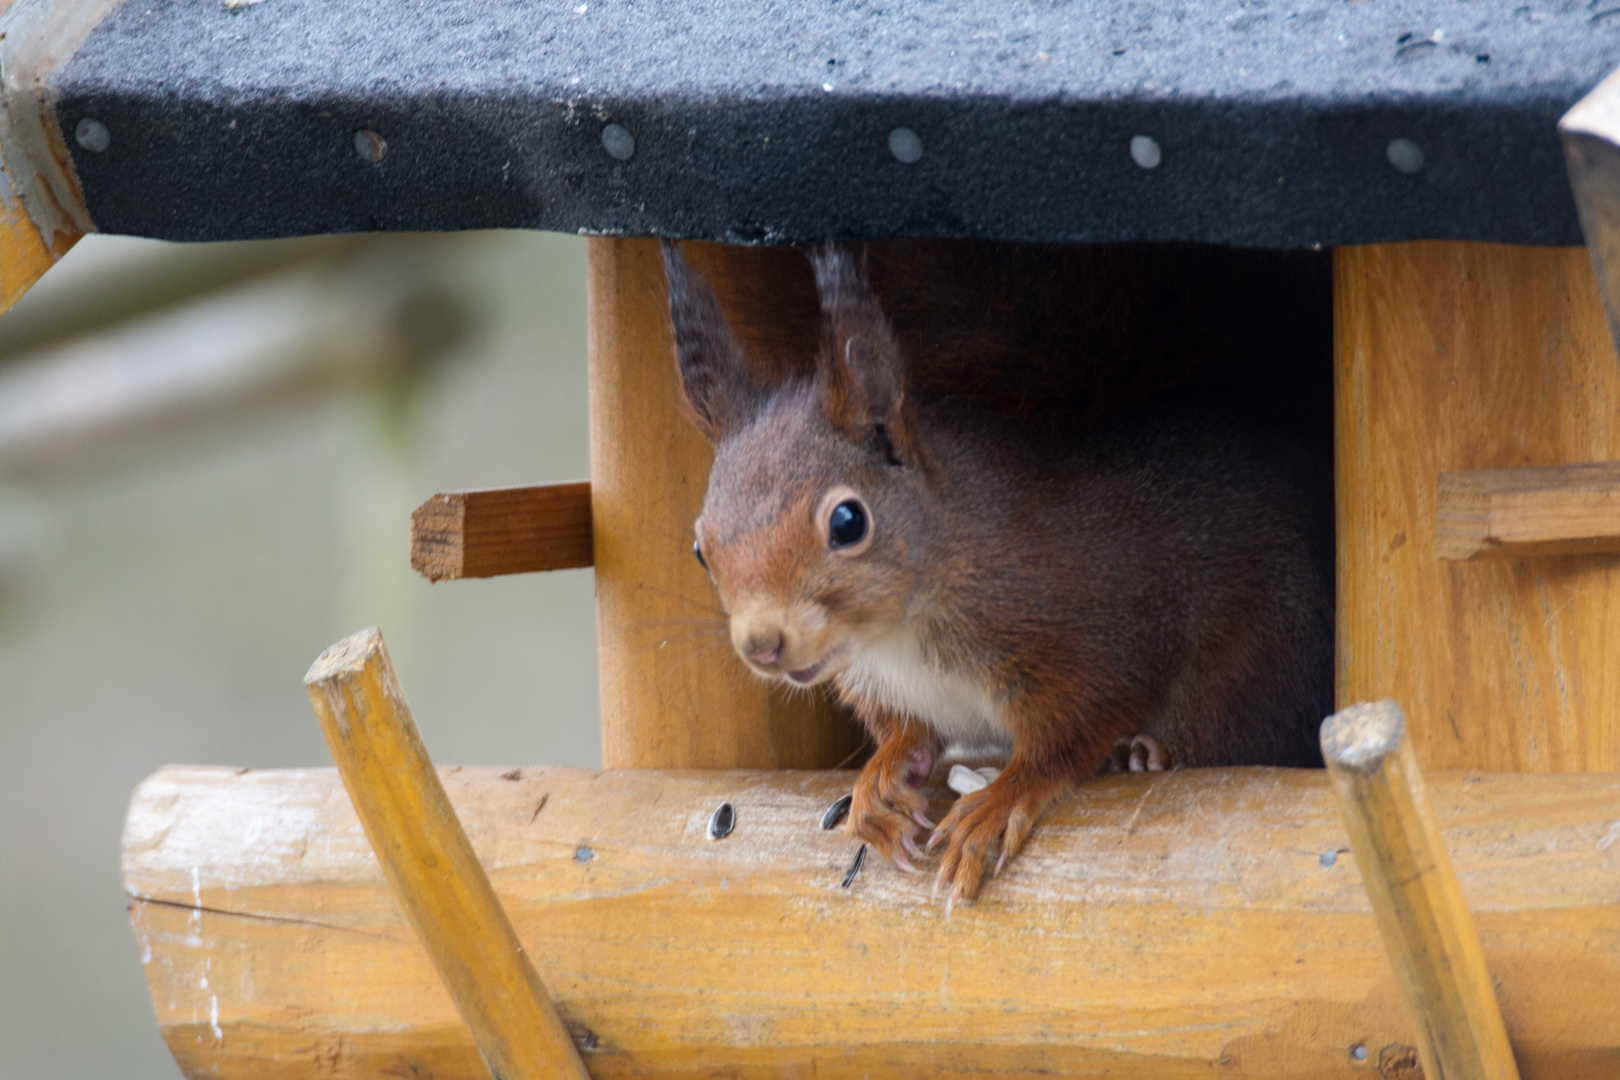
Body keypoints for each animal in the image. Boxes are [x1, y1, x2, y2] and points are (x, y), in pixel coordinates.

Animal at [657, 241, 1328, 906]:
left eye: (848, 521)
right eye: (699, 547)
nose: (761, 645)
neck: (901, 636)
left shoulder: (1098, 632)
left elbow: (1074, 729)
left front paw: (999, 801)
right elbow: (905, 732)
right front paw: (882, 778)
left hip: (1256, 664)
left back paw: (1150, 753)